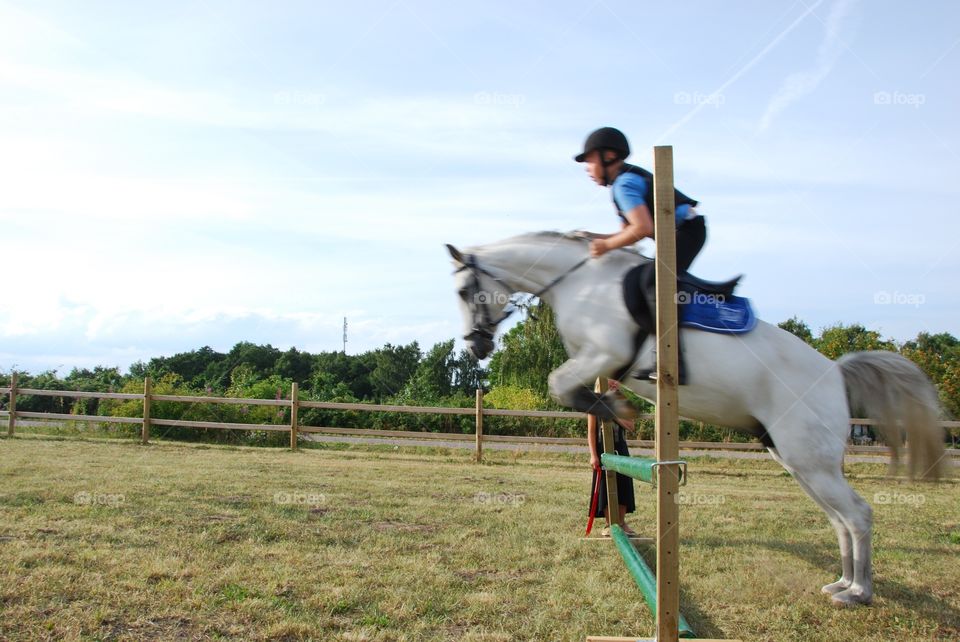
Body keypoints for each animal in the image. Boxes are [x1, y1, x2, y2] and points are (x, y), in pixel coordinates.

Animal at [448, 230, 944, 604]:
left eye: (463, 291)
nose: (476, 347)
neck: (578, 282)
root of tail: (836, 373)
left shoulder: (602, 353)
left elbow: (559, 385)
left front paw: (621, 410)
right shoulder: (595, 362)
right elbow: (570, 391)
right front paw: (616, 411)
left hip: (811, 461)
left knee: (857, 514)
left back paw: (858, 592)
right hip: (799, 461)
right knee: (839, 518)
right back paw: (841, 582)